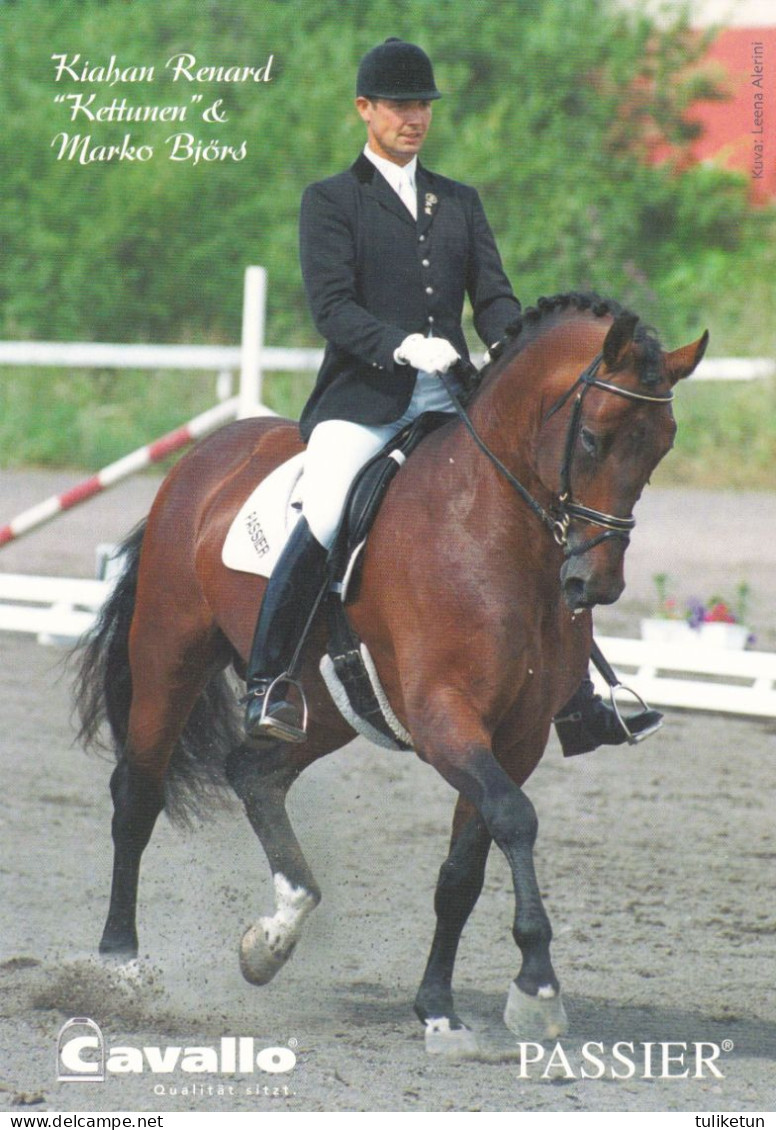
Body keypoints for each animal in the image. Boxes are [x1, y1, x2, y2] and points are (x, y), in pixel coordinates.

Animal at [75, 296, 709, 1053]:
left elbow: (465, 867)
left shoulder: (517, 736)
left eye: (662, 446)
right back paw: (120, 962)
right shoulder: (445, 718)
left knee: (254, 772)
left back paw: (274, 936)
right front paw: (536, 988)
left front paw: (438, 1008)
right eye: (592, 438)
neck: (490, 527)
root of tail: (203, 459)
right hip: (168, 656)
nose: (595, 584)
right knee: (137, 796)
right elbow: (515, 819)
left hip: (323, 703)